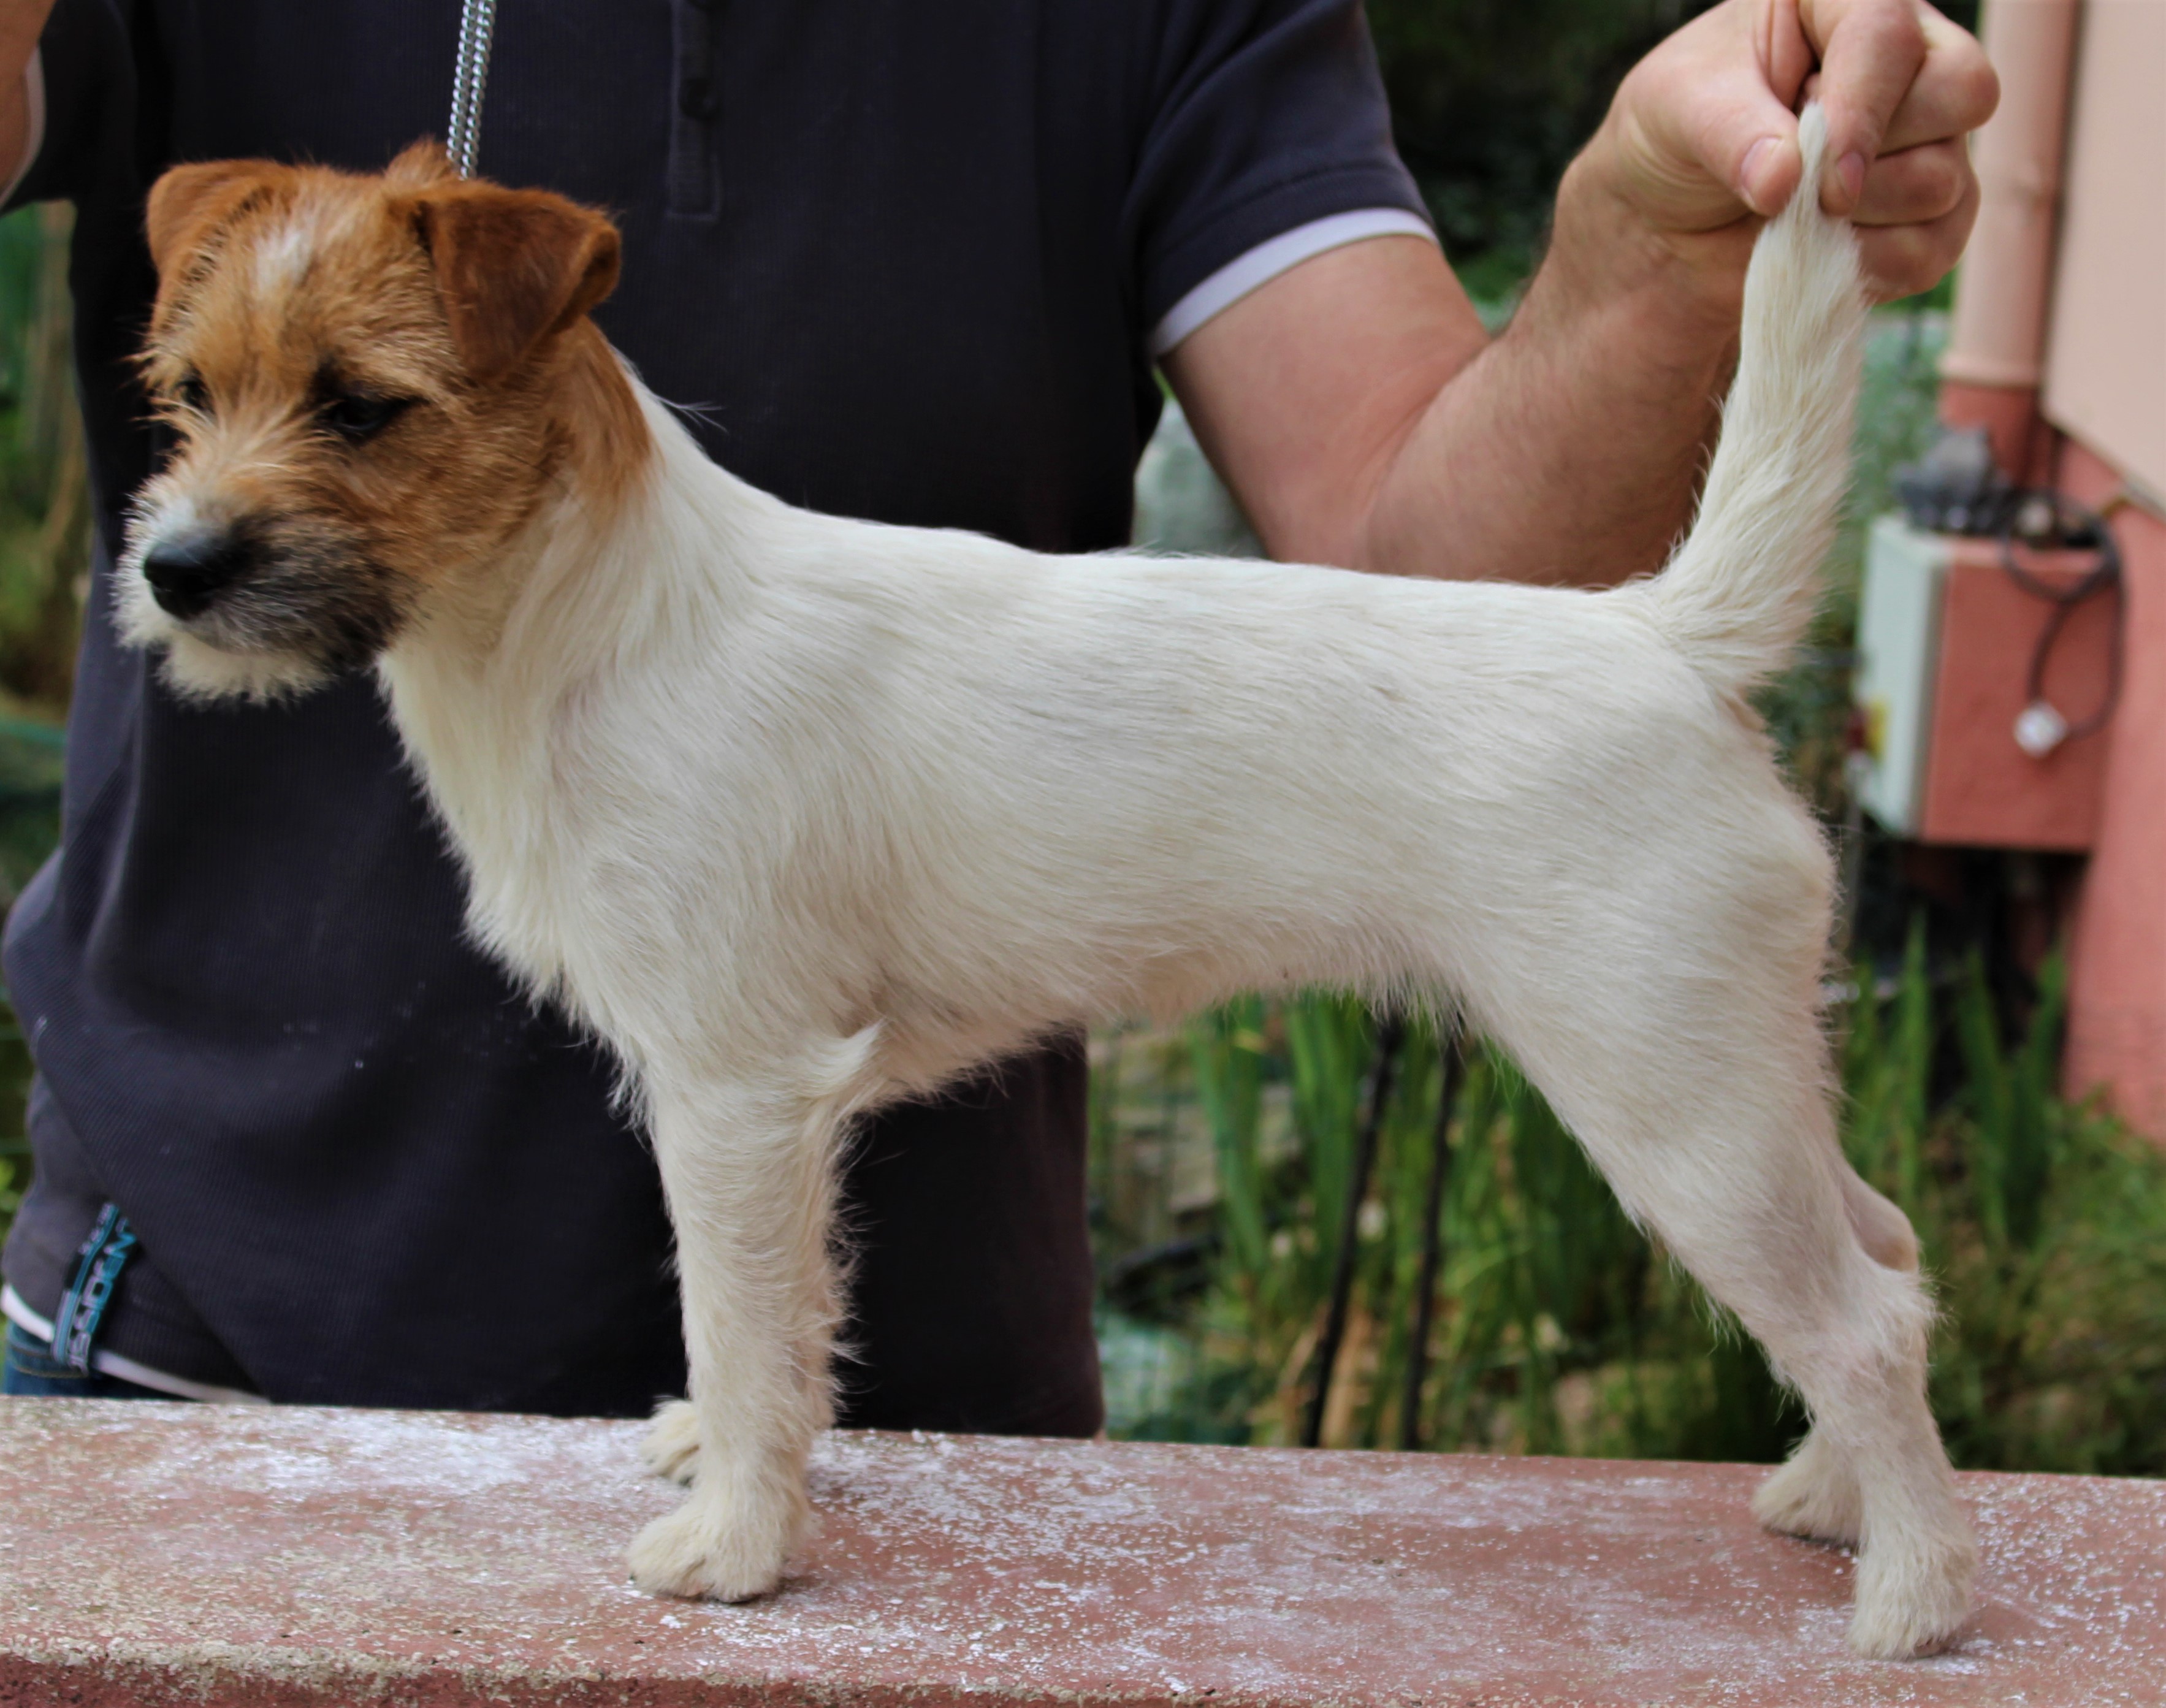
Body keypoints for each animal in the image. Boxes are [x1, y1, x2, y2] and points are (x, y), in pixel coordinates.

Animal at [123, 106, 1984, 1653]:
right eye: (192, 395)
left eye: (362, 406)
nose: (173, 569)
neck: (598, 623)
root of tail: (1661, 634)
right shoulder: (768, 1110)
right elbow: (788, 1323)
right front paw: (746, 1469)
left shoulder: (733, 1091)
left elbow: (734, 1313)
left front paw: (736, 1544)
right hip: (1736, 1080)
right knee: (1888, 1250)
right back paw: (1832, 1505)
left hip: (1671, 1103)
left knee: (1863, 1320)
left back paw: (1913, 1601)